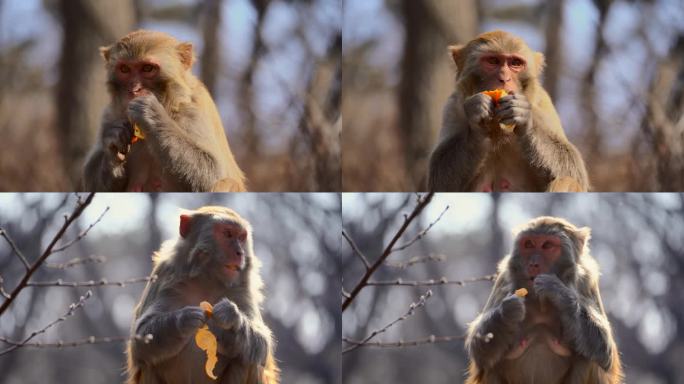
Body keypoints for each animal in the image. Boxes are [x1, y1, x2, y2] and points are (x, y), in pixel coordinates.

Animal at [83, 30, 247, 192]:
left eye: (147, 68)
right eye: (124, 69)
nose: (134, 90)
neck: (169, 106)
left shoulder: (195, 110)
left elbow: (212, 172)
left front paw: (151, 114)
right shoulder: (110, 115)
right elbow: (91, 183)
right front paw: (113, 144)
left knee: (227, 182)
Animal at [127, 207, 280, 384]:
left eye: (241, 237)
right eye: (228, 234)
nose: (239, 252)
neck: (207, 281)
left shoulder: (242, 288)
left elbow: (263, 345)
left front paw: (230, 319)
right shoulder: (164, 276)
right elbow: (140, 341)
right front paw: (183, 320)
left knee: (248, 359)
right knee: (148, 363)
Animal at [428, 30, 588, 192]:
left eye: (515, 63)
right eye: (493, 61)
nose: (504, 78)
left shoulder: (542, 102)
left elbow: (575, 171)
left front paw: (525, 119)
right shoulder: (453, 106)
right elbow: (440, 181)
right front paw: (477, 120)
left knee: (568, 180)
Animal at [468, 218, 624, 382]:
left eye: (547, 246)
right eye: (528, 244)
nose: (533, 264)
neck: (539, 300)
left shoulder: (587, 281)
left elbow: (604, 351)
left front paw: (558, 292)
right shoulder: (504, 280)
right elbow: (479, 350)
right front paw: (508, 312)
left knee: (589, 358)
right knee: (490, 365)